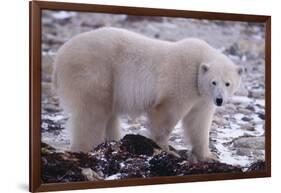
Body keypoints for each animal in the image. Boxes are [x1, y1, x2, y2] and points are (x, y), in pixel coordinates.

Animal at [52, 26, 241, 161]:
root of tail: (60, 54)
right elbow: (166, 113)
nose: (219, 100)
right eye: (213, 82)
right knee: (92, 113)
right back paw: (87, 148)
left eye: (228, 83)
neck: (198, 64)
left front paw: (208, 156)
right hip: (96, 70)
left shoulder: (201, 98)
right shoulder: (182, 82)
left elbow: (198, 123)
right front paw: (166, 150)